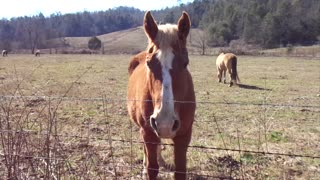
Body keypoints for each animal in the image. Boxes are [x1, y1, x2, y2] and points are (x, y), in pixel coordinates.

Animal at [127, 11, 195, 180]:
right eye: (149, 64)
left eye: (185, 63)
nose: (165, 123)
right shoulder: (148, 132)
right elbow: (152, 168)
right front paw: (147, 169)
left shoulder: (184, 135)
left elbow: (180, 171)